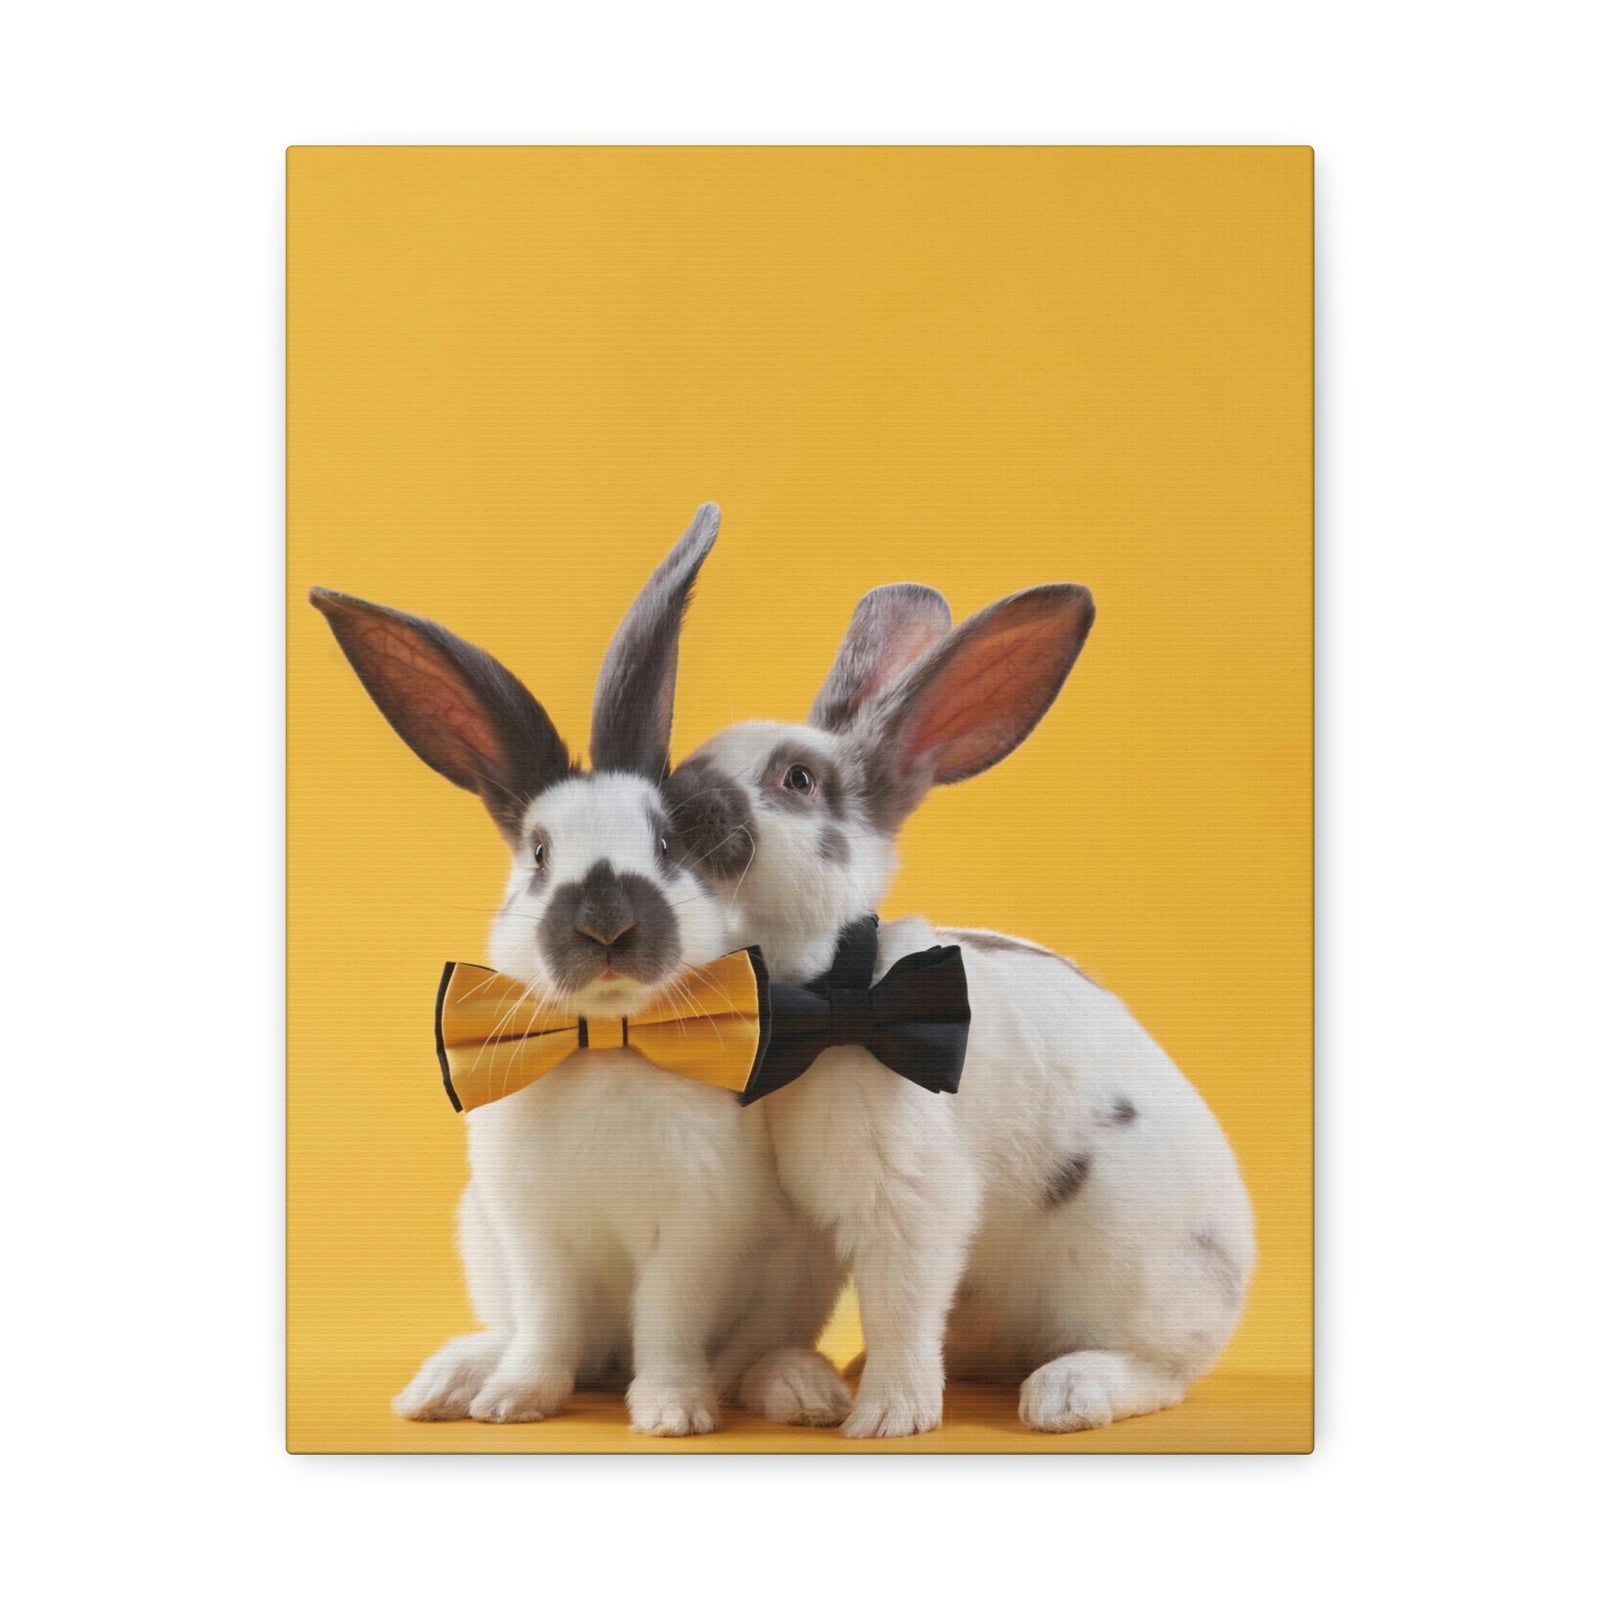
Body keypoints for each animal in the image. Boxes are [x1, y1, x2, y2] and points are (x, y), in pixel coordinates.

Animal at [309, 504, 850, 1436]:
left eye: (668, 844)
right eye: (536, 853)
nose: (607, 924)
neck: (607, 1038)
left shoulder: (693, 1234)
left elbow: (668, 1324)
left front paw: (672, 1412)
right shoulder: (534, 1238)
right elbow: (548, 1324)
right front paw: (512, 1402)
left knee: (751, 1351)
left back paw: (795, 1389)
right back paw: (446, 1385)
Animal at [664, 581, 1256, 1437]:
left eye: (798, 780)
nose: (674, 800)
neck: (824, 996)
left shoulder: (910, 1196)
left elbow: (901, 1304)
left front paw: (888, 1417)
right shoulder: (793, 1227)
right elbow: (773, 1320)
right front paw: (789, 1390)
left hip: (1141, 1275)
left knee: (1165, 1370)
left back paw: (1066, 1393)